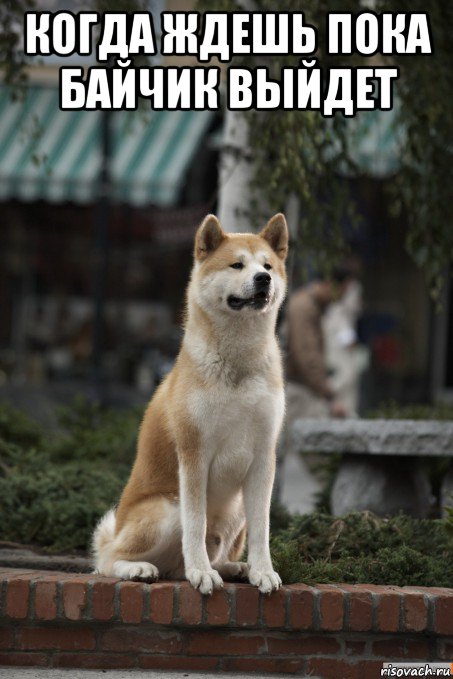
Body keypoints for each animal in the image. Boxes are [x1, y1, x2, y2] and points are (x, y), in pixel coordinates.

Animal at [93, 212, 288, 596]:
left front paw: (263, 571)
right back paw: (142, 568)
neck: (237, 364)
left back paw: (235, 568)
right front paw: (201, 573)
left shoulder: (263, 457)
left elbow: (263, 530)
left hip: (236, 509)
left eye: (268, 266)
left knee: (203, 558)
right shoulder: (194, 454)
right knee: (107, 560)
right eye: (237, 264)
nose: (263, 279)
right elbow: (195, 526)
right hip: (167, 508)